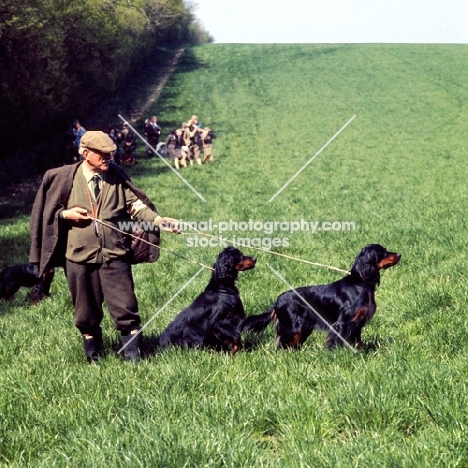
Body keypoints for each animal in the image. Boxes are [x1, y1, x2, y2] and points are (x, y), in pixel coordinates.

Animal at [239, 245, 400, 348]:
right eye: (383, 251)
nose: (399, 254)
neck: (360, 281)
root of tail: (277, 301)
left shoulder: (357, 322)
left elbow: (356, 341)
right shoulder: (343, 322)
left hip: (304, 326)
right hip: (293, 326)